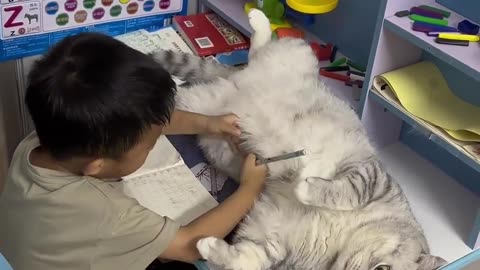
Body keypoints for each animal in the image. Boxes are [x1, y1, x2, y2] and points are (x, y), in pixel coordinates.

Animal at [153, 8, 446, 270]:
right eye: (383, 269)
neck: (341, 243)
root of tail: (235, 78)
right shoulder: (373, 177)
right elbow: (348, 191)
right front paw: (306, 183)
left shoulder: (273, 238)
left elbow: (247, 259)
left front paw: (207, 246)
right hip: (299, 52)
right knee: (258, 49)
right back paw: (258, 20)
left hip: (197, 104)